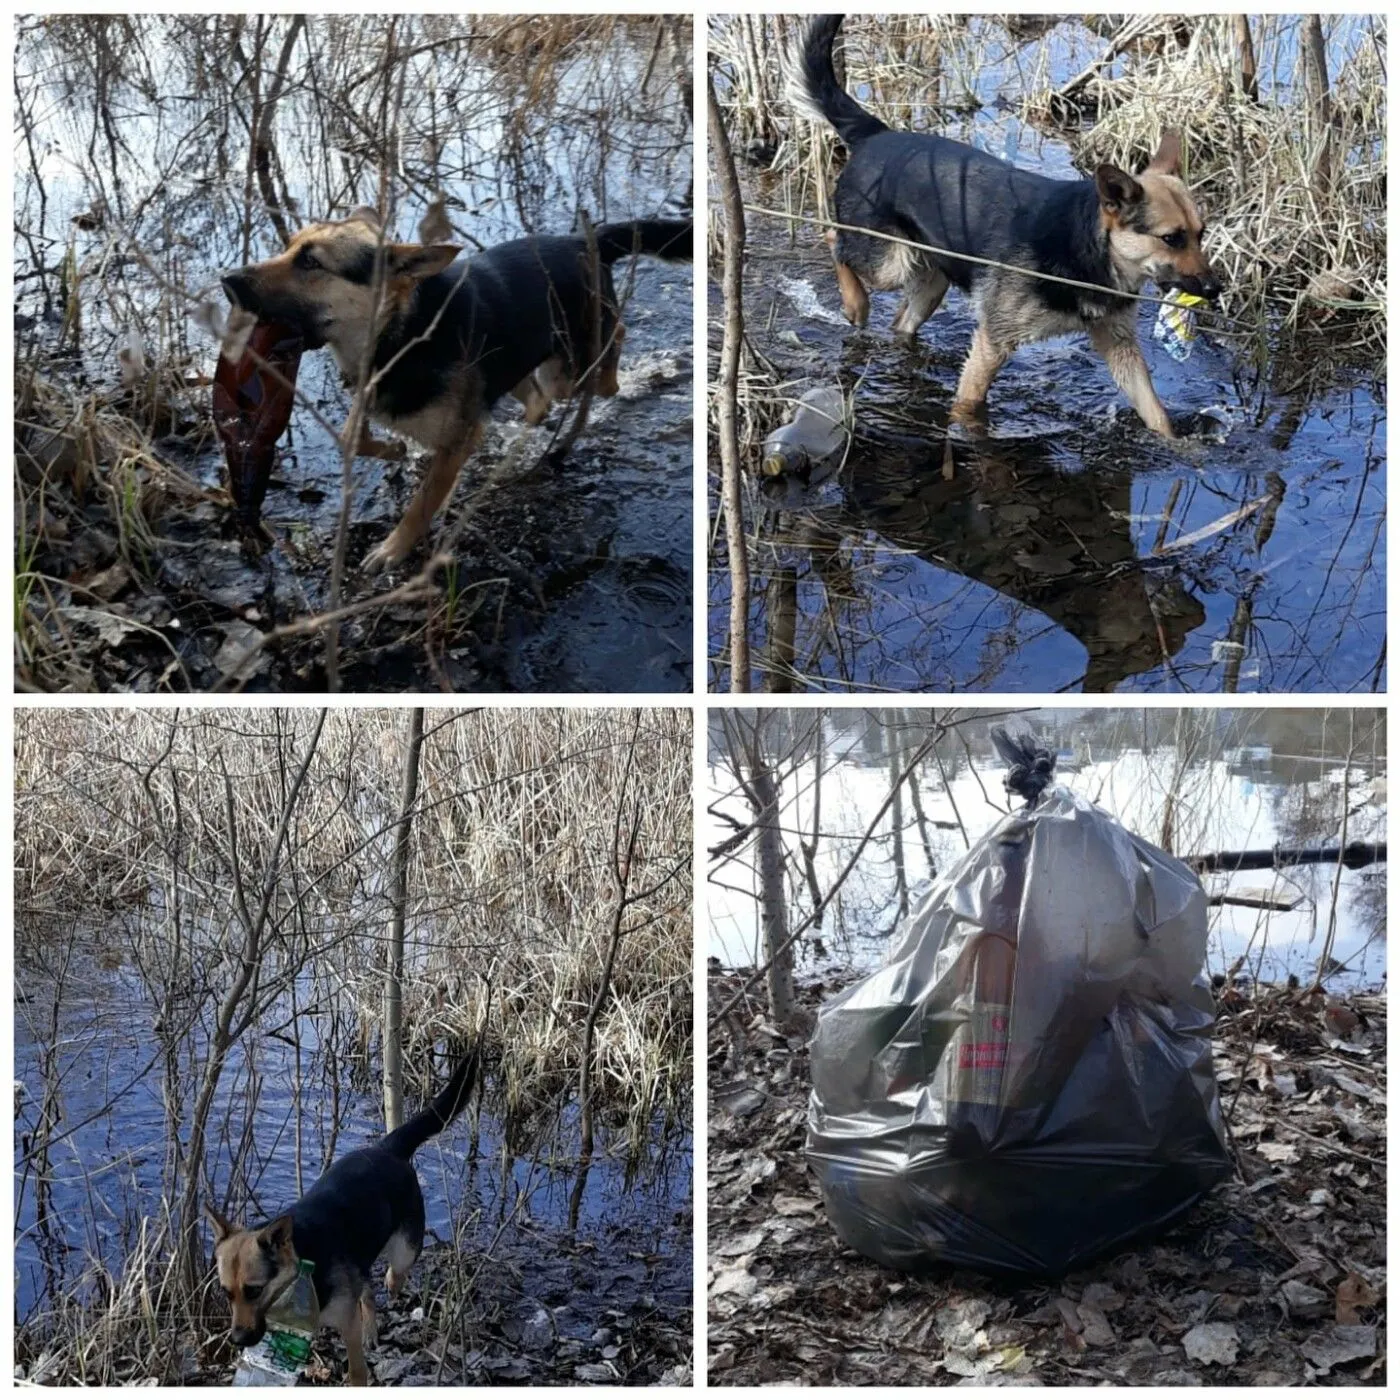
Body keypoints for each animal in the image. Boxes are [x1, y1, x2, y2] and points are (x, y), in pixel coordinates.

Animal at [204, 1052, 481, 1383]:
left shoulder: (347, 1323)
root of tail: (386, 1147)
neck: (304, 1260)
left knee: (393, 1275)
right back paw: (372, 1326)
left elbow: (357, 1371)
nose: (237, 1340)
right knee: (368, 1290)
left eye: (254, 1290)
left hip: (405, 1249)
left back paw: (390, 1289)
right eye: (226, 1292)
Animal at [219, 208, 694, 568]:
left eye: (311, 263)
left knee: (607, 348)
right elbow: (358, 434)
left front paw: (393, 549)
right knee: (539, 398)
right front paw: (396, 450)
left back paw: (609, 381)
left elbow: (421, 504)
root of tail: (582, 239)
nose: (227, 280)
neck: (403, 333)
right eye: (289, 248)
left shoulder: (457, 440)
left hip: (577, 353)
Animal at [795, 13, 1220, 434]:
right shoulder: (993, 342)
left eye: (1201, 234)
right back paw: (856, 302)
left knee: (901, 320)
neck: (1085, 248)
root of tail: (876, 135)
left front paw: (1178, 445)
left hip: (932, 281)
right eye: (1171, 239)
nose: (1215, 290)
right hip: (890, 264)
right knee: (833, 239)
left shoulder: (1119, 345)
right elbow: (968, 404)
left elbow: (1156, 412)